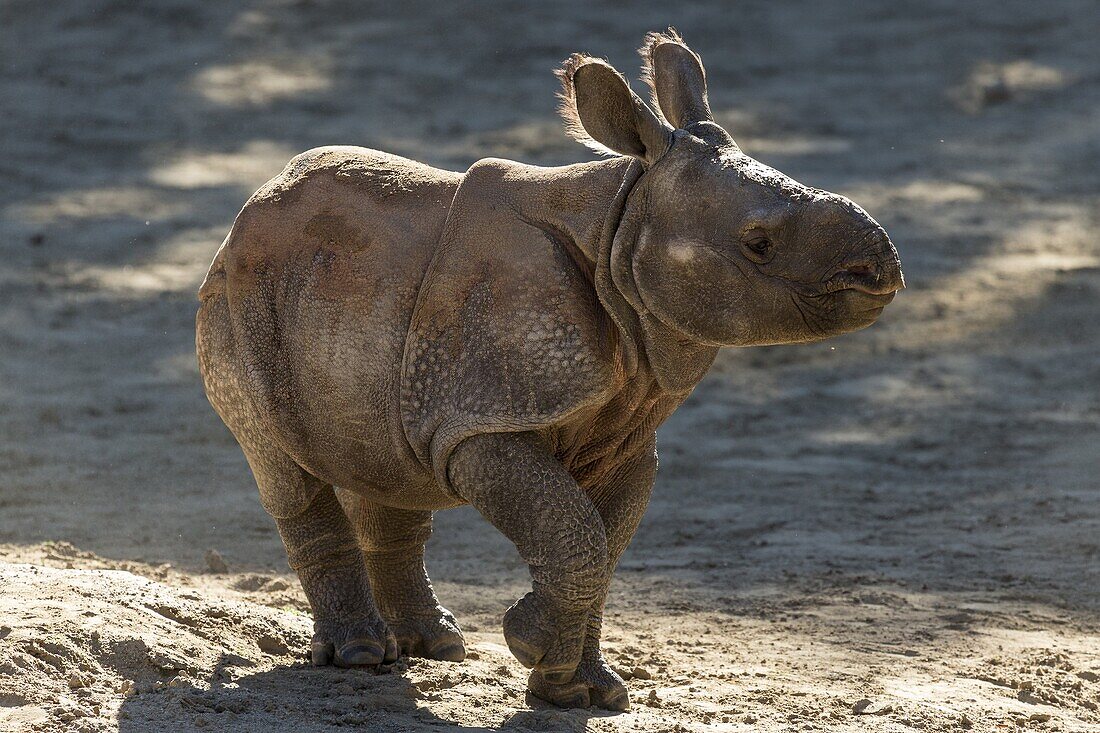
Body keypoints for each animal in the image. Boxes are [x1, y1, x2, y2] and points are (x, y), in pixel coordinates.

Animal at [195, 29, 902, 708]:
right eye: (758, 243)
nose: (882, 270)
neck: (619, 224)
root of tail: (249, 210)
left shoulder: (625, 435)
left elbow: (600, 550)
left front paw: (583, 691)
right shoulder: (484, 420)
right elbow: (575, 537)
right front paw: (531, 643)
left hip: (347, 299)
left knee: (381, 463)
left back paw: (435, 646)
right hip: (239, 297)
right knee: (286, 468)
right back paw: (363, 656)